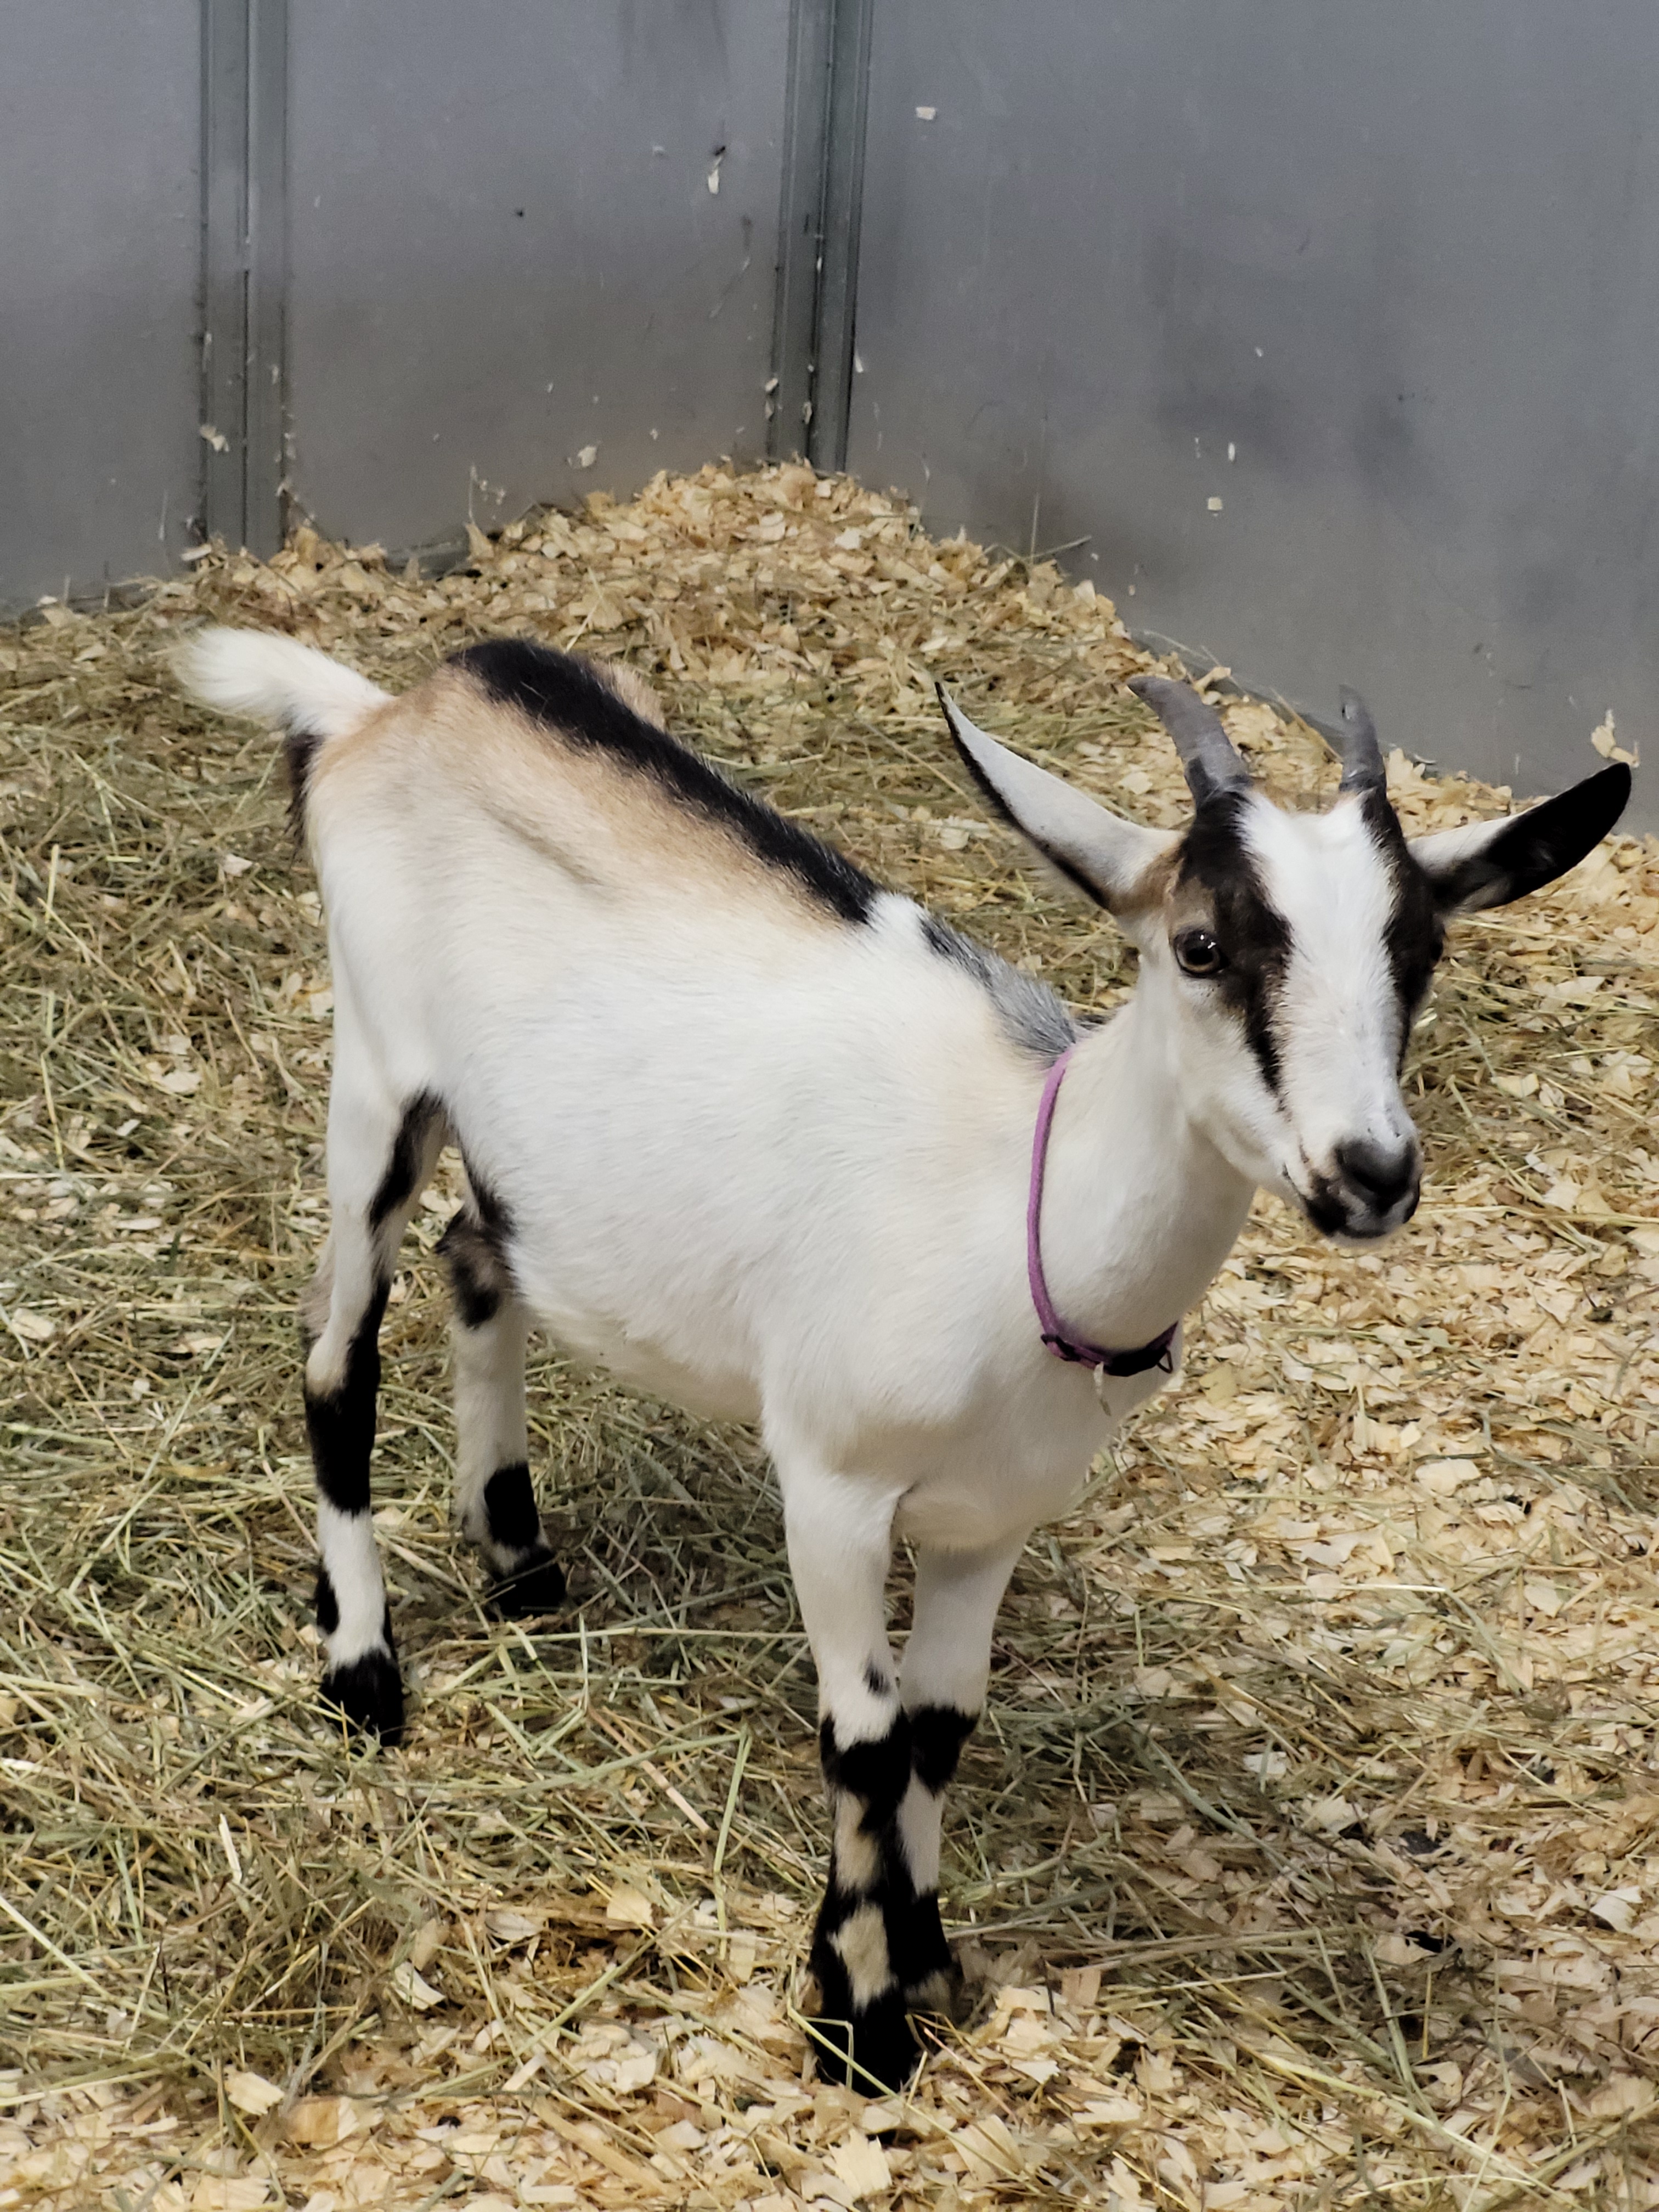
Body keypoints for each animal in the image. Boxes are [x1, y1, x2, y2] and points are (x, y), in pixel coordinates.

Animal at [180, 626, 1628, 2088]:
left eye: (1420, 951)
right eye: (1202, 945)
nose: (1370, 1174)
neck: (1020, 1210)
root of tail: (389, 714)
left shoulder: (995, 1518)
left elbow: (941, 1728)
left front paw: (922, 1956)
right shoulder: (831, 1486)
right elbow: (868, 1742)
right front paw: (861, 2017)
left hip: (520, 1160)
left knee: (481, 1259)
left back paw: (519, 1556)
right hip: (375, 1082)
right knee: (338, 1357)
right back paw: (363, 1670)